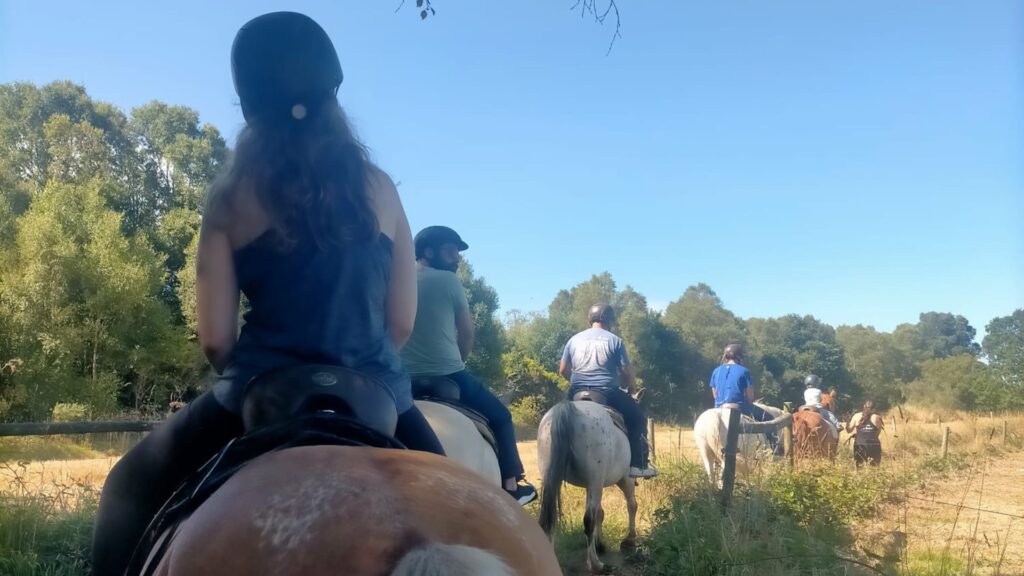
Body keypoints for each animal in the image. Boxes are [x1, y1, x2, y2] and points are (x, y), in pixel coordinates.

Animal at [537, 399, 638, 574]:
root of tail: (567, 408)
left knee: (551, 519)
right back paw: (596, 565)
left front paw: (600, 544)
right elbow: (631, 505)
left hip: (551, 481)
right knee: (589, 520)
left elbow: (600, 513)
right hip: (596, 481)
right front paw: (629, 539)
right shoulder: (625, 478)